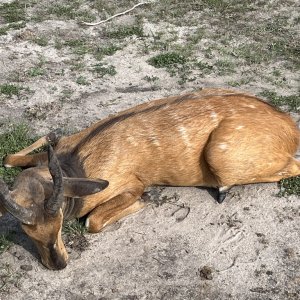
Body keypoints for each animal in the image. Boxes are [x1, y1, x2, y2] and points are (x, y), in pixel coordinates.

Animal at [0, 88, 300, 270]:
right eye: (27, 231)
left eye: (59, 222)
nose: (58, 264)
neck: (75, 163)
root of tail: (291, 128)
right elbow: (8, 157)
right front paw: (49, 136)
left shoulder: (132, 183)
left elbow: (92, 221)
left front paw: (146, 200)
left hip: (220, 156)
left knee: (293, 165)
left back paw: (223, 189)